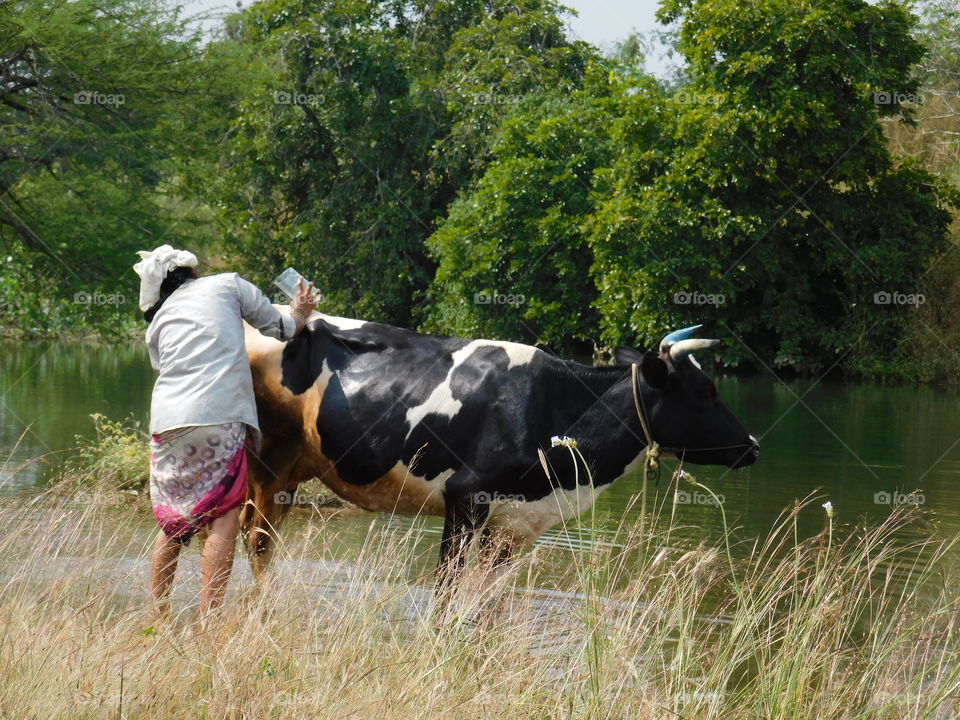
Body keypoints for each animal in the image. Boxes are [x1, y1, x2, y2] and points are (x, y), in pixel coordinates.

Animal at [240, 311, 759, 594]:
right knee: (254, 537)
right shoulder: (466, 498)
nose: (753, 446)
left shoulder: (516, 524)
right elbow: (448, 590)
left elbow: (486, 603)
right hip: (268, 462)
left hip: (292, 470)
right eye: (705, 392)